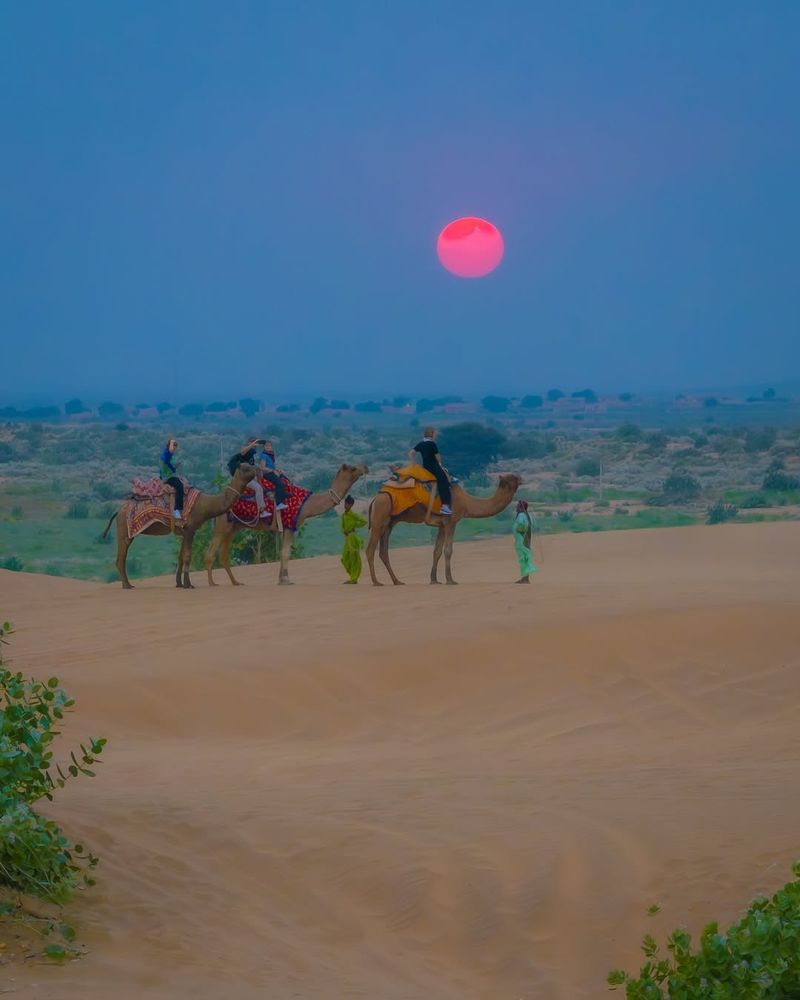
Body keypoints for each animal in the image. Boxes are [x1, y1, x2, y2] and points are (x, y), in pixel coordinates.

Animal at [101, 462, 255, 588]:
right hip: (124, 530)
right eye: (247, 468)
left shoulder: (183, 532)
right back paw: (127, 585)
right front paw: (188, 585)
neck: (205, 505)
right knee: (121, 558)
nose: (258, 470)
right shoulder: (190, 530)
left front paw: (179, 584)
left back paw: (128, 584)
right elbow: (187, 556)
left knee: (121, 557)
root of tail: (119, 511)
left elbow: (180, 557)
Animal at [205, 462, 370, 584]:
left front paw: (281, 578)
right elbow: (286, 553)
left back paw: (236, 582)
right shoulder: (291, 525)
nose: (365, 467)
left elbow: (281, 552)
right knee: (211, 553)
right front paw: (286, 579)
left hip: (233, 527)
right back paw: (212, 583)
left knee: (224, 555)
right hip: (222, 525)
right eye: (353, 468)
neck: (307, 504)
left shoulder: (284, 527)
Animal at [366, 474, 520, 584]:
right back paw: (376, 582)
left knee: (383, 551)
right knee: (370, 549)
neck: (467, 502)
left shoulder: (441, 525)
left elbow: (437, 551)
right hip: (380, 515)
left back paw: (397, 581)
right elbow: (448, 550)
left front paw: (434, 580)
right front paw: (450, 580)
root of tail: (375, 498)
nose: (521, 478)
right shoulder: (450, 521)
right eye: (513, 477)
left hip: (389, 522)